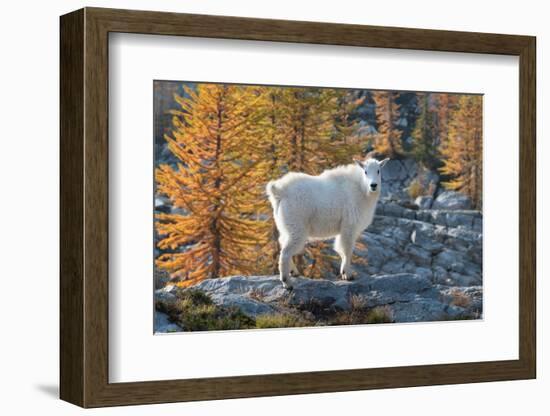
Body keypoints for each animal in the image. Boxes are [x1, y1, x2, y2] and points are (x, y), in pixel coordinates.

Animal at [268, 158, 390, 288]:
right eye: (365, 171)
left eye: (378, 171)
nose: (373, 185)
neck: (361, 189)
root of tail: (280, 191)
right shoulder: (349, 225)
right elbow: (347, 249)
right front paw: (348, 275)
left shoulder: (343, 229)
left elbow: (340, 249)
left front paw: (344, 272)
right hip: (297, 227)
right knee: (285, 253)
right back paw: (287, 282)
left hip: (286, 226)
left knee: (282, 243)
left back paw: (294, 272)